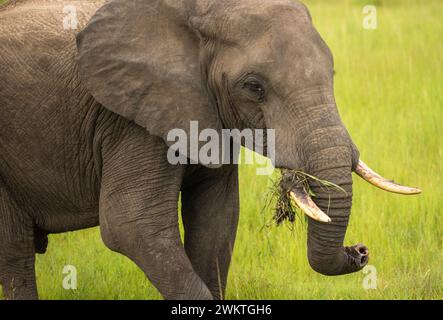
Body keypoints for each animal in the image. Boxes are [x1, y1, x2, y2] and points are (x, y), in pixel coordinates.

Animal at [0, 0, 422, 300]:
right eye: (254, 87)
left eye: (331, 75)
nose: (361, 251)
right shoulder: (130, 120)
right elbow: (132, 226)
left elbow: (216, 220)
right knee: (15, 250)